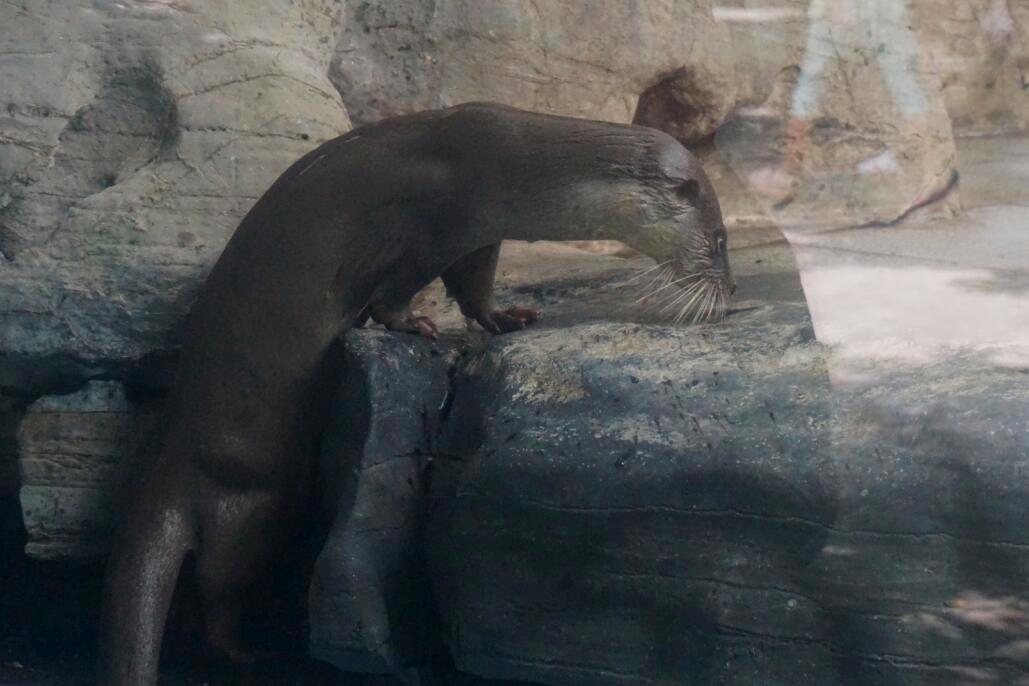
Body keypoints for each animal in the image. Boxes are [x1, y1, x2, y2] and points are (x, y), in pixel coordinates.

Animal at [98, 102, 734, 685]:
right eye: (721, 240)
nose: (729, 290)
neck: (515, 160)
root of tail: (174, 457)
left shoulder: (480, 234)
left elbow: (473, 286)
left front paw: (505, 317)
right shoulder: (437, 225)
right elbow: (397, 290)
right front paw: (412, 326)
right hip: (250, 500)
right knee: (220, 583)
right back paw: (243, 651)